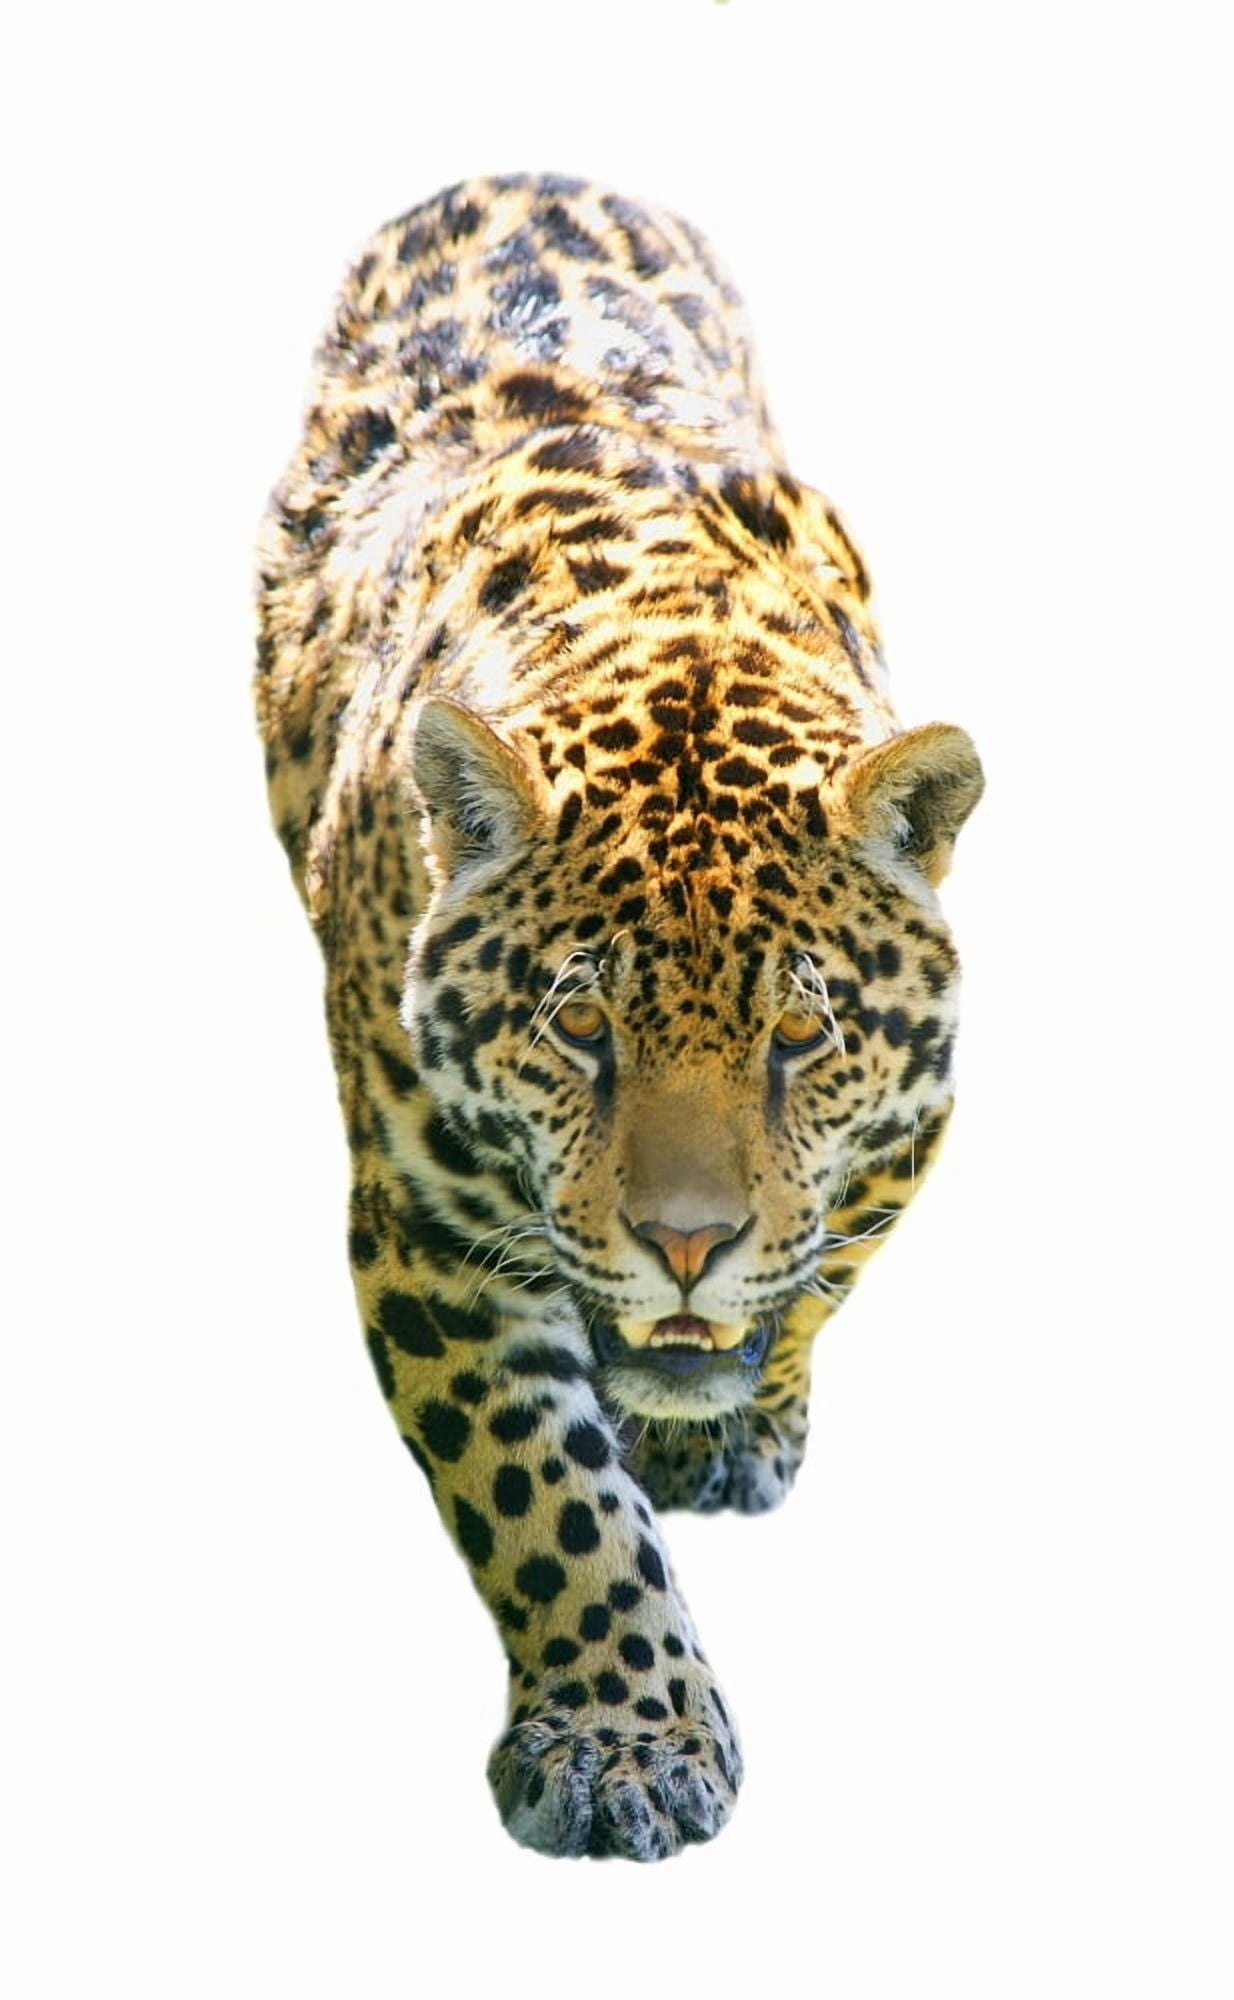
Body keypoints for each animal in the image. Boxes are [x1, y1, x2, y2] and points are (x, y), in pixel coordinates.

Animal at [254, 173, 983, 1862]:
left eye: (801, 1038)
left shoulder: (905, 1137)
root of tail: (522, 169)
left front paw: (723, 1416)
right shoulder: (430, 1231)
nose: (684, 1245)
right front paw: (623, 1744)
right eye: (580, 1034)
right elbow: (540, 1496)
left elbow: (815, 1278)